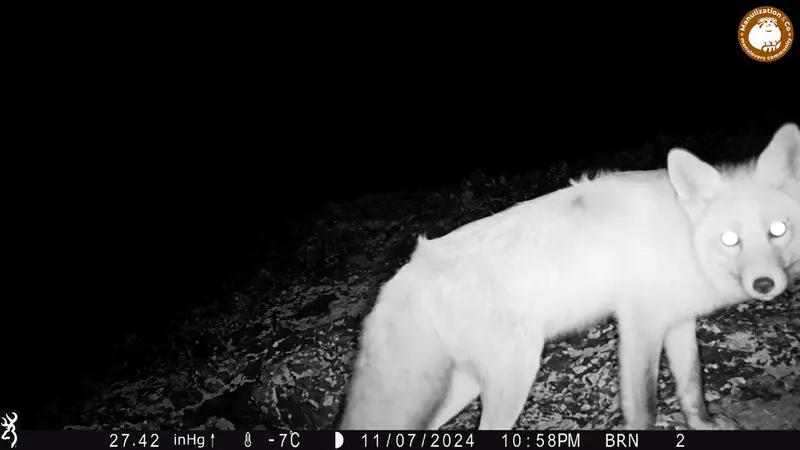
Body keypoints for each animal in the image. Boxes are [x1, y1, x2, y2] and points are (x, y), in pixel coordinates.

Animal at [337, 122, 800, 431]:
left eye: (778, 231)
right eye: (730, 239)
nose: (765, 285)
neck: (683, 236)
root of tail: (408, 270)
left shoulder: (680, 322)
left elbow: (692, 386)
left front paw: (703, 426)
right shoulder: (640, 325)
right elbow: (645, 408)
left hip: (462, 387)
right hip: (513, 376)